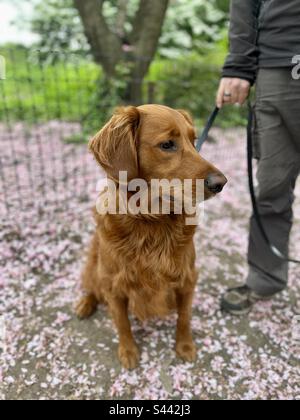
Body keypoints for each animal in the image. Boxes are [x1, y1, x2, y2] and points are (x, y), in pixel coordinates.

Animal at [75, 104, 227, 368]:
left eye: (193, 141)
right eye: (167, 144)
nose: (221, 183)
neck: (151, 222)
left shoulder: (187, 278)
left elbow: (184, 316)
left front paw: (184, 346)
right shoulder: (113, 284)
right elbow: (122, 323)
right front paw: (128, 351)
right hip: (95, 266)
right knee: (92, 287)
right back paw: (85, 304)